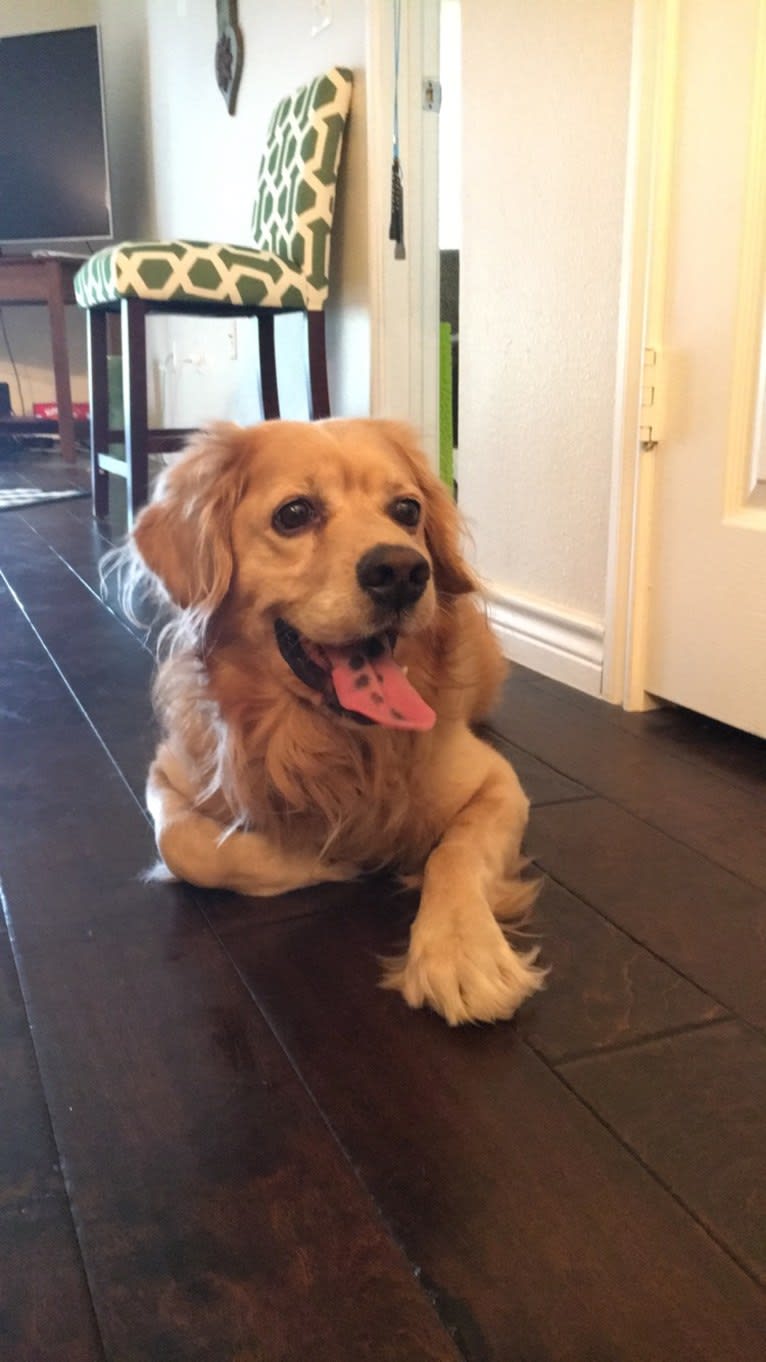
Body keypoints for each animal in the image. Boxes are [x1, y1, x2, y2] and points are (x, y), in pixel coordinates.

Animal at [125, 419, 542, 1024]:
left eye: (407, 509)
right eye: (294, 513)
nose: (403, 571)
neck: (328, 741)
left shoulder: (496, 782)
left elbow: (456, 853)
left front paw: (462, 951)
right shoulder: (171, 772)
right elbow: (186, 846)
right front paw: (327, 860)